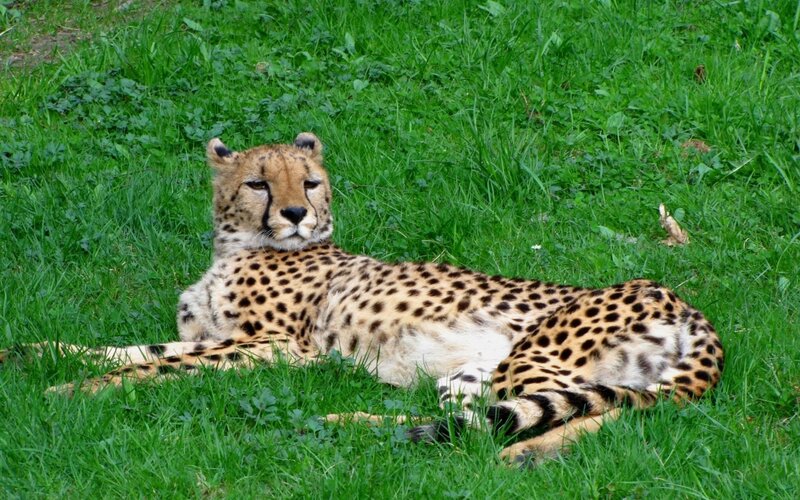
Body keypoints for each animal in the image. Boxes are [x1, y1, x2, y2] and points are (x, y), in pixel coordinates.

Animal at [0, 133, 724, 465]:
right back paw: (343, 424)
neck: (234, 246)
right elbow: (133, 349)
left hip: (533, 355)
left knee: (565, 415)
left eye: (310, 181)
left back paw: (517, 452)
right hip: (482, 373)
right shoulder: (214, 337)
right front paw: (35, 355)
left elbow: (156, 366)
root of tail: (686, 305)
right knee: (485, 420)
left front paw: (77, 392)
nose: (295, 213)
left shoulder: (276, 348)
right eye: (259, 182)